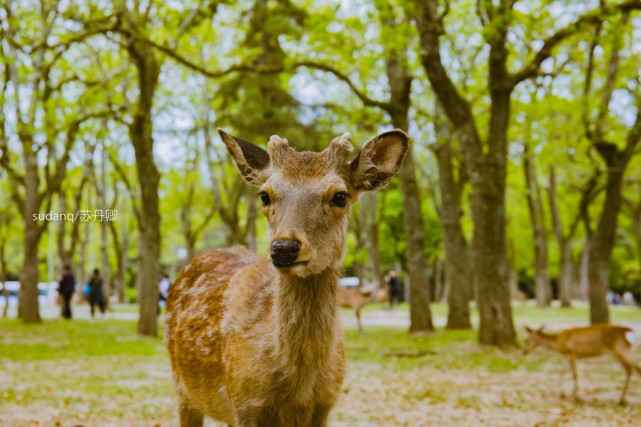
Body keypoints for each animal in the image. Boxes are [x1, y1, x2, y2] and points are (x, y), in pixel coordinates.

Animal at [162, 129, 408, 426]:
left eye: (340, 196)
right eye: (264, 196)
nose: (284, 248)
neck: (297, 391)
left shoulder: (324, 405)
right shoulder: (243, 403)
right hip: (182, 387)